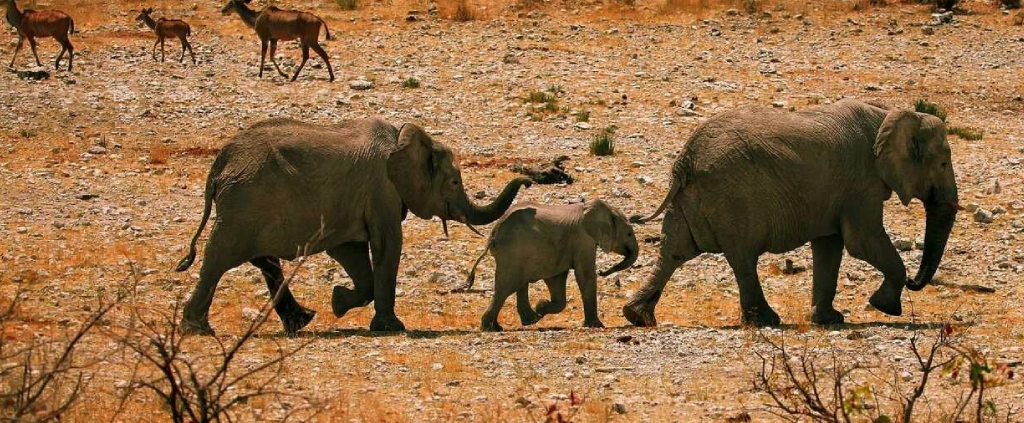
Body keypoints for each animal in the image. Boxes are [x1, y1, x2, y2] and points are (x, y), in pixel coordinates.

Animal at [175, 117, 532, 333]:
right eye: (455, 182)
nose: (529, 180)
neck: (403, 137)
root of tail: (219, 163)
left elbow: (352, 253)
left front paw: (338, 302)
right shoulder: (382, 189)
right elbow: (387, 246)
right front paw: (391, 328)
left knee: (263, 260)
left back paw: (301, 321)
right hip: (244, 202)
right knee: (219, 257)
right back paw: (197, 329)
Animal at [458, 199, 634, 331]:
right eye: (629, 234)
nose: (603, 272)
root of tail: (493, 235)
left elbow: (557, 279)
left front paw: (541, 307)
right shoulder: (583, 239)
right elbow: (585, 275)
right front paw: (597, 326)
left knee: (517, 284)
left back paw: (525, 321)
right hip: (512, 252)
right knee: (507, 287)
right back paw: (493, 327)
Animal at [622, 99, 958, 325]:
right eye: (943, 164)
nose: (915, 282)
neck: (888, 114)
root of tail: (686, 159)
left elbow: (829, 247)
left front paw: (829, 320)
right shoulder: (861, 185)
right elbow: (861, 241)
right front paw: (884, 307)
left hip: (693, 198)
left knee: (675, 251)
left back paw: (636, 316)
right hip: (733, 198)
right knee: (742, 258)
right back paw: (767, 321)